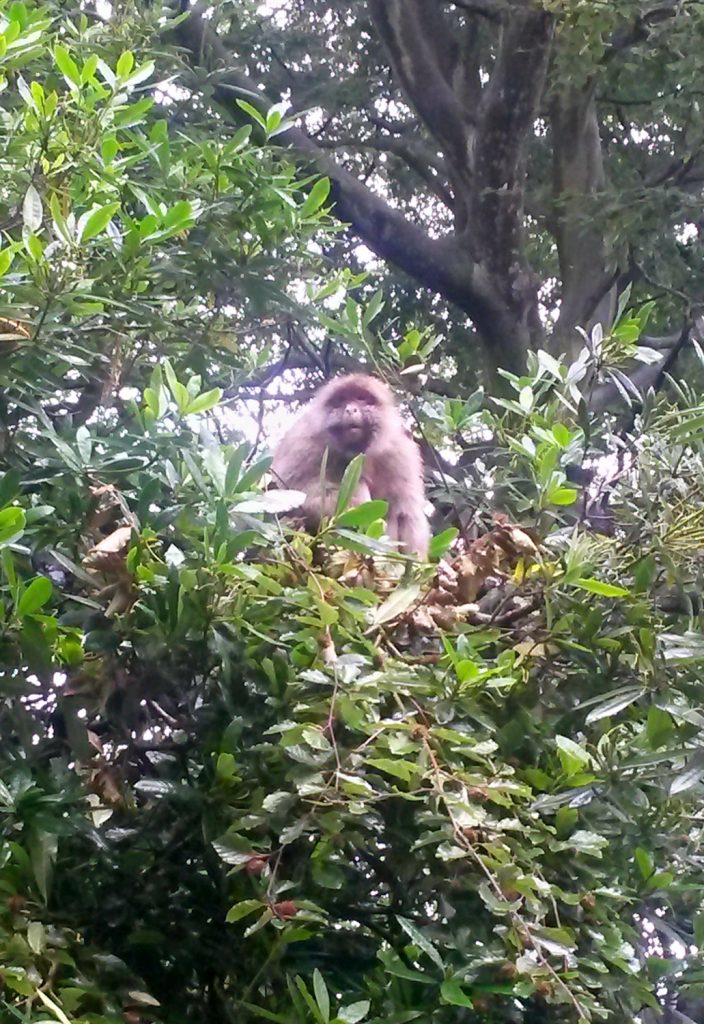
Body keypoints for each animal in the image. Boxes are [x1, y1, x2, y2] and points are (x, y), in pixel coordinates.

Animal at [271, 374, 430, 558]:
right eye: (342, 400)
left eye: (361, 398)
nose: (350, 410)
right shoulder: (305, 443)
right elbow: (296, 493)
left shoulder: (399, 454)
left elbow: (406, 513)